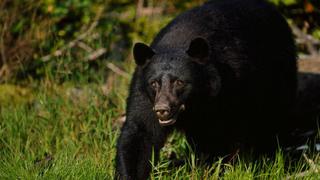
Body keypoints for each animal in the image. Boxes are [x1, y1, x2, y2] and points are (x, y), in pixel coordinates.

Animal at [116, 0, 296, 179]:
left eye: (179, 82)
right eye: (154, 83)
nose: (162, 109)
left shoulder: (232, 88)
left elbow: (230, 131)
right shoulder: (144, 95)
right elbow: (141, 133)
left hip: (278, 73)